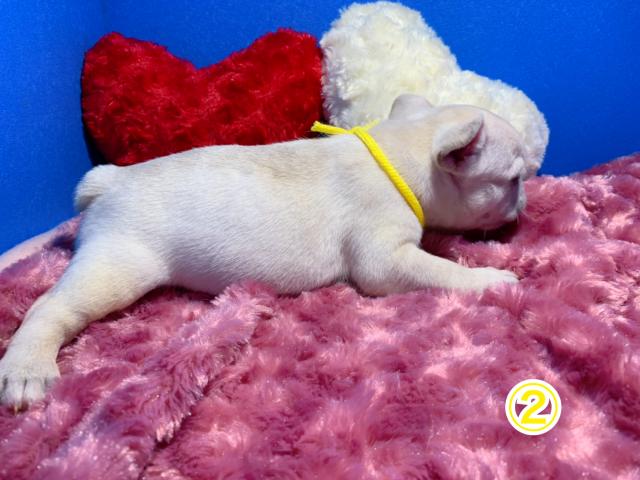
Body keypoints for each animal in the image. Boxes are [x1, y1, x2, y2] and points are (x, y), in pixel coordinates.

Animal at [0, 94, 527, 408]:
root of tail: (110, 181)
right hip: (117, 263)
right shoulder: (387, 257)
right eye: (514, 180)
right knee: (50, 305)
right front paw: (490, 278)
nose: (524, 205)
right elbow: (440, 270)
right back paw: (27, 368)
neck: (397, 153)